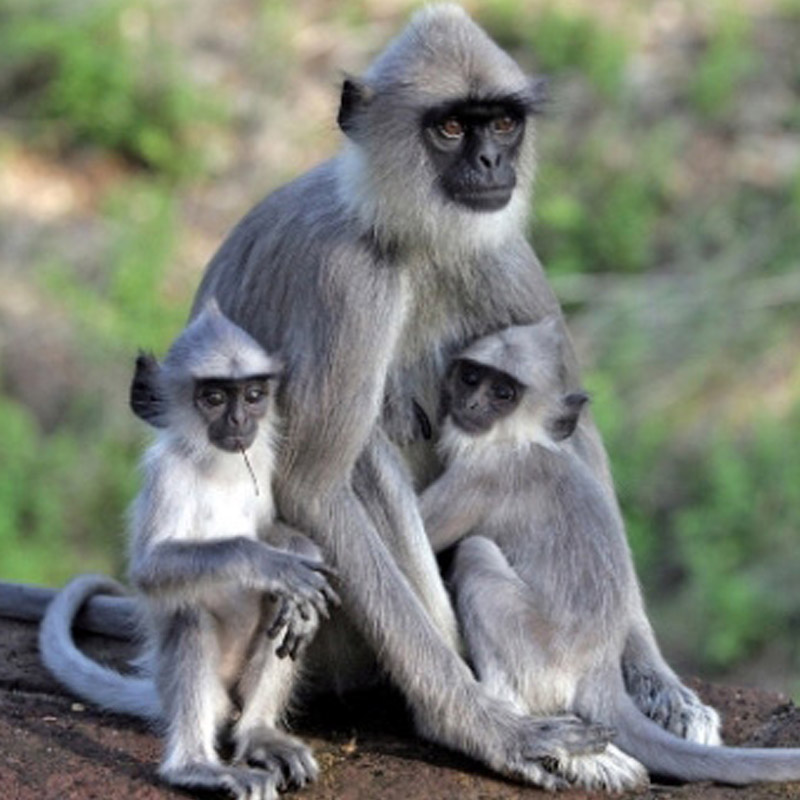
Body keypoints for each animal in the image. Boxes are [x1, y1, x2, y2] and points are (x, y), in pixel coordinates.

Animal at [39, 300, 339, 800]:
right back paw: (194, 766)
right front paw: (271, 564)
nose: (239, 421)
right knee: (189, 613)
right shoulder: (166, 473)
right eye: (214, 398)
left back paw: (258, 733)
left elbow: (273, 533)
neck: (215, 467)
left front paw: (302, 555)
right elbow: (152, 571)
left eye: (253, 395)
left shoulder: (260, 460)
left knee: (274, 617)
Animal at [418, 319, 800, 790]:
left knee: (475, 553)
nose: (471, 402)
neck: (529, 441)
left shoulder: (487, 473)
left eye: (503, 393)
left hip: (537, 648)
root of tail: (600, 670)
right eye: (471, 377)